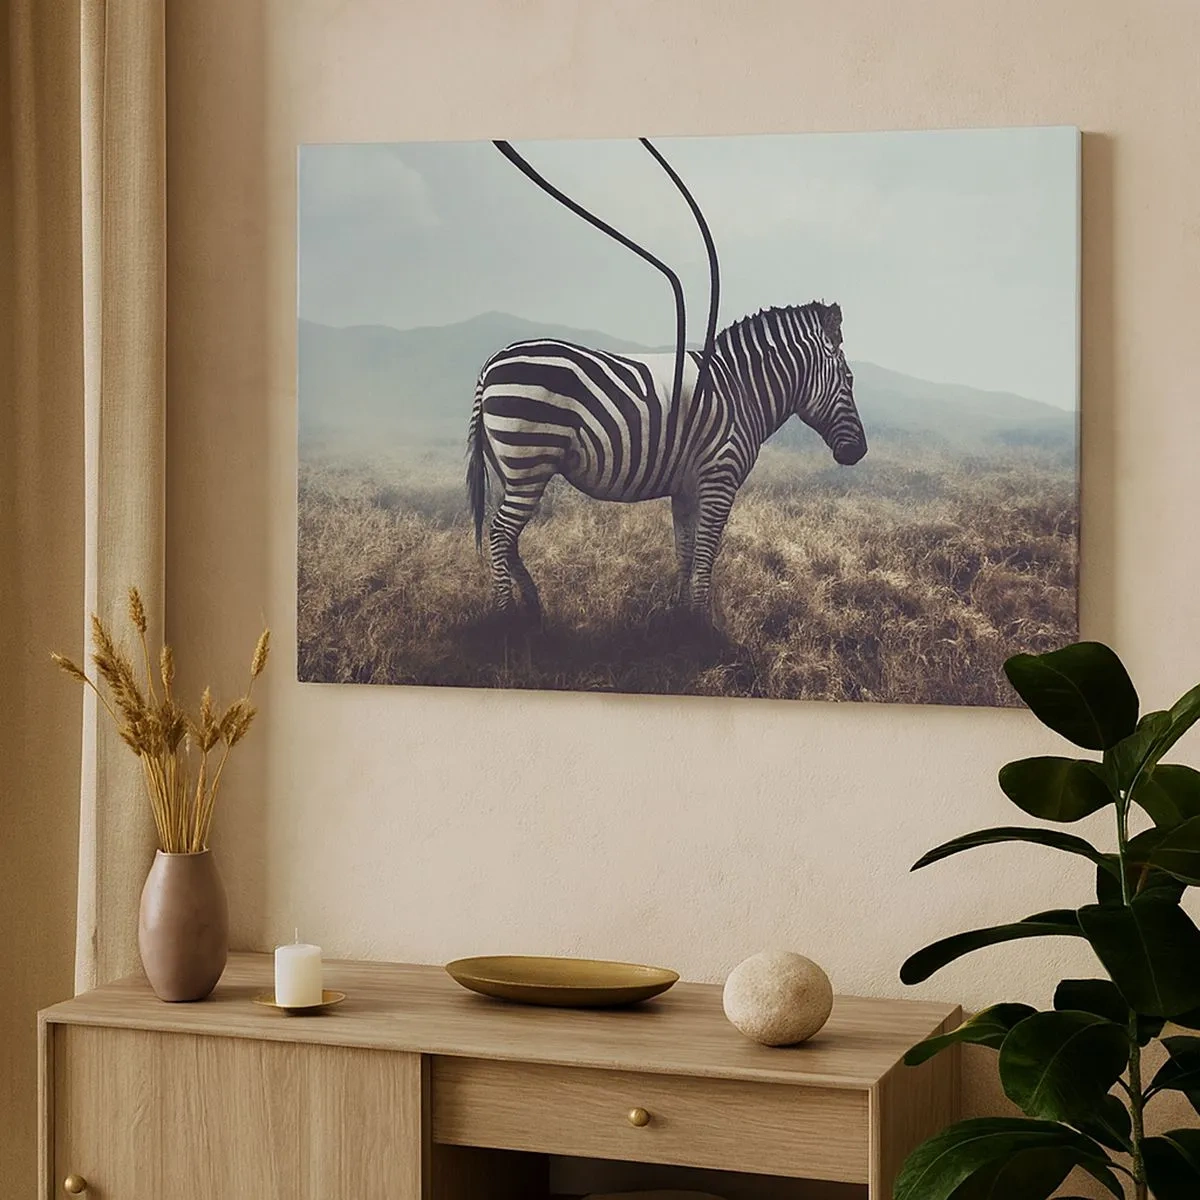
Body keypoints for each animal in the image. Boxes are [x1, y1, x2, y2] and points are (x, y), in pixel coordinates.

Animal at [466, 300, 867, 619]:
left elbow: (685, 550)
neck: (741, 391)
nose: (859, 452)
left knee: (508, 536)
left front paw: (680, 613)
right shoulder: (719, 479)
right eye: (849, 379)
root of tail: (492, 363)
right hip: (529, 463)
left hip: (510, 470)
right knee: (500, 533)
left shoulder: (685, 487)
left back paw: (533, 608)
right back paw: (508, 616)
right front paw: (702, 622)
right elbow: (706, 551)